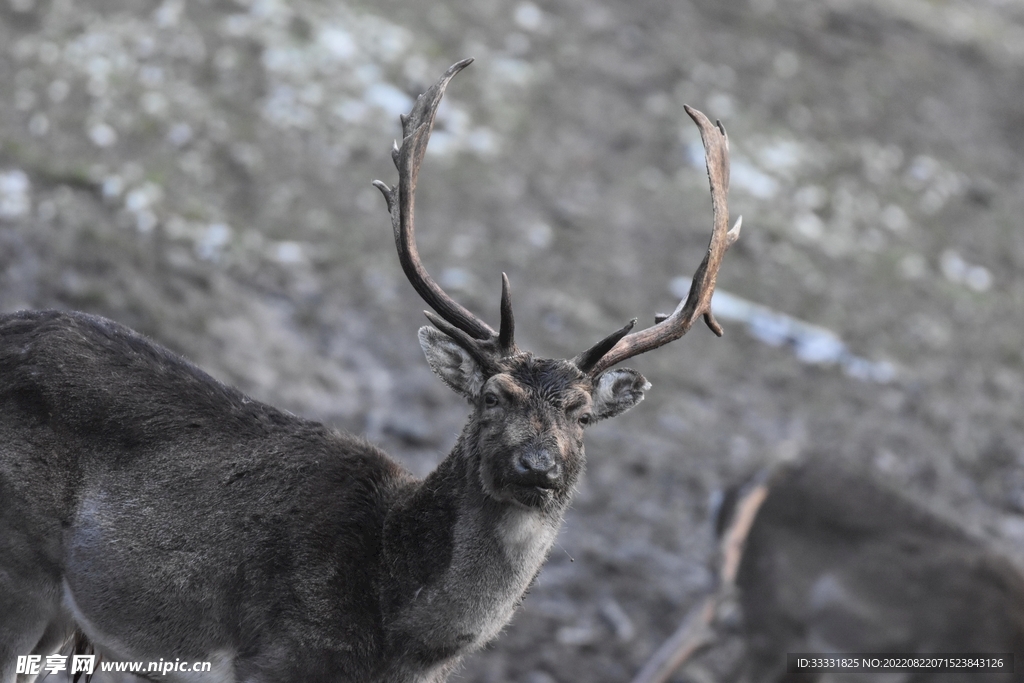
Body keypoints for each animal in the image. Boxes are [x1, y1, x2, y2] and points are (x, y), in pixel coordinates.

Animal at [0, 59, 739, 683]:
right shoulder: (275, 655)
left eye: (583, 415)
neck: (393, 632)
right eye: (492, 397)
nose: (539, 467)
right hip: (19, 573)